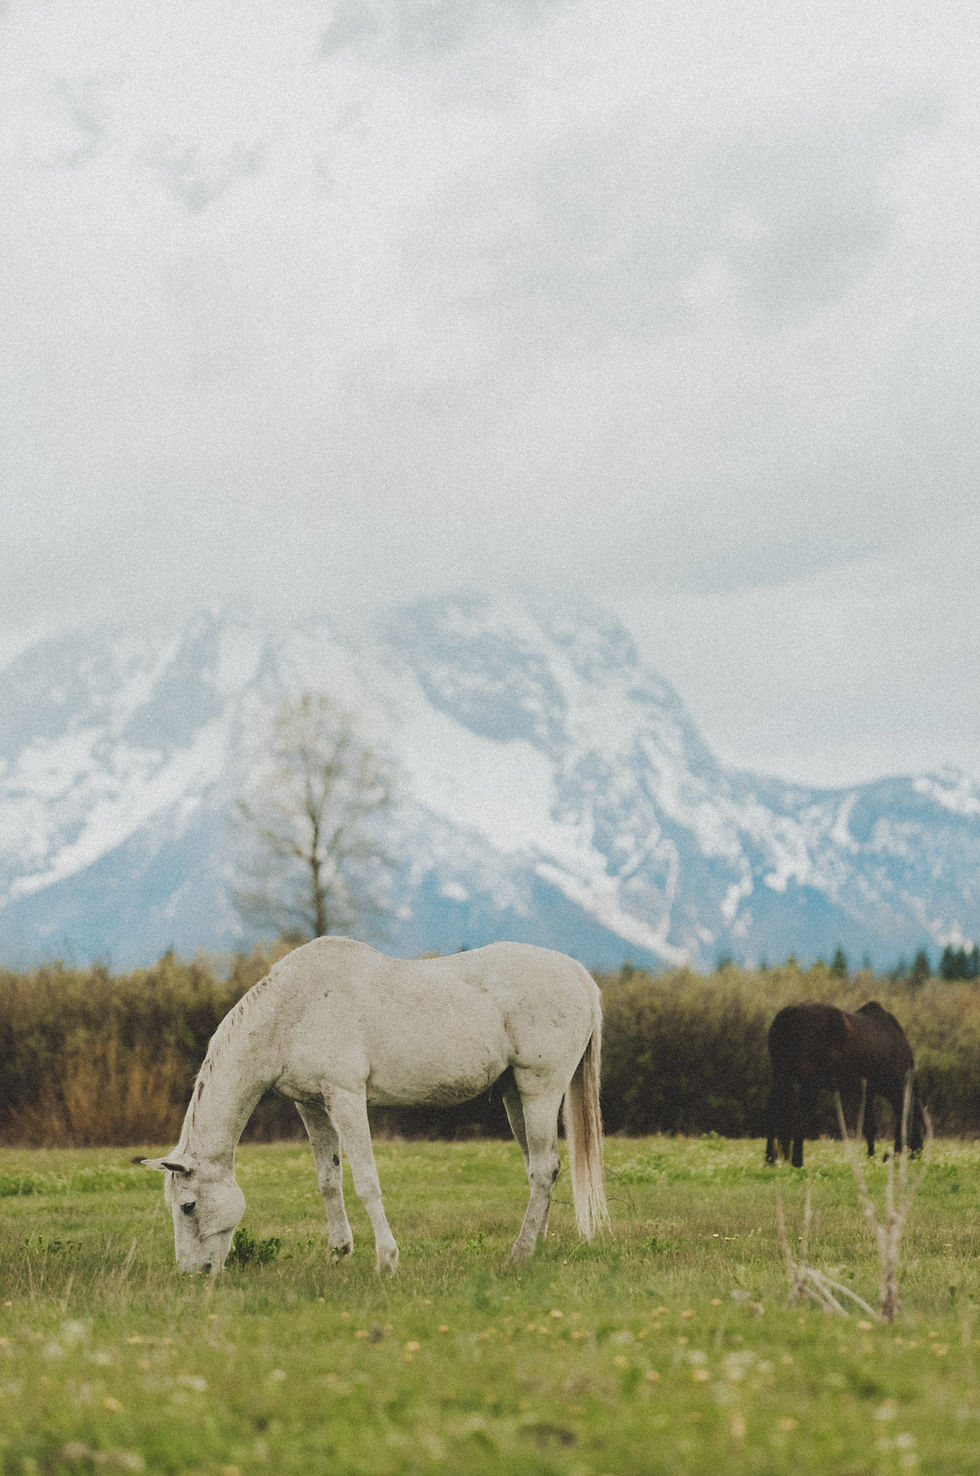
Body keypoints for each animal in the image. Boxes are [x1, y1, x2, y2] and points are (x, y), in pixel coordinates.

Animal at [144, 937, 609, 1273]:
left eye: (188, 1206)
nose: (191, 1273)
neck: (291, 1012)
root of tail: (580, 976)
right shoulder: (311, 1106)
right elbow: (328, 1180)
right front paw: (338, 1252)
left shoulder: (346, 1097)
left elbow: (366, 1181)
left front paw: (386, 1260)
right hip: (516, 1095)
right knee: (540, 1168)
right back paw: (536, 1247)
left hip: (540, 1088)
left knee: (543, 1169)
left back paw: (519, 1254)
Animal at [764, 1000, 924, 1168]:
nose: (917, 1155)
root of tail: (788, 1013)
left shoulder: (869, 1092)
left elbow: (869, 1127)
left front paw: (870, 1157)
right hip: (807, 1084)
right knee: (800, 1116)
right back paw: (797, 1161)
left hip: (780, 1077)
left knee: (772, 1112)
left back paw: (770, 1160)